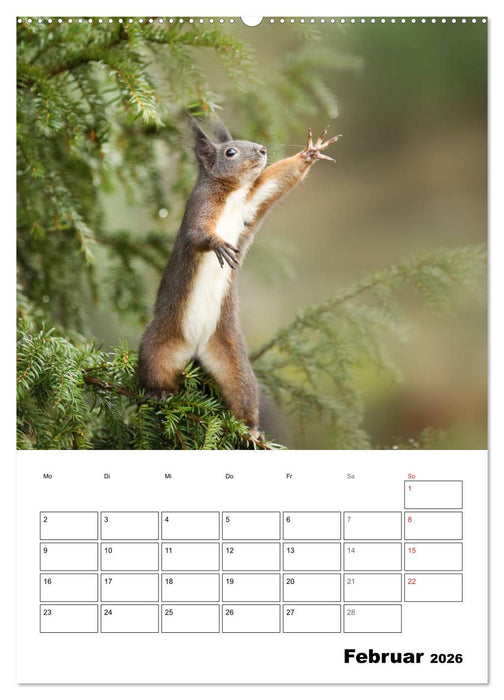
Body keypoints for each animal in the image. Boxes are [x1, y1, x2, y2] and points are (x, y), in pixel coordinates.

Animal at [137, 118, 340, 439]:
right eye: (230, 152)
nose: (262, 150)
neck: (231, 193)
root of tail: (196, 348)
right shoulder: (200, 208)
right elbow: (197, 234)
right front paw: (217, 244)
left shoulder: (253, 198)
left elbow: (277, 181)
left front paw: (309, 153)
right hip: (158, 346)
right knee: (155, 371)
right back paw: (159, 393)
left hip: (233, 359)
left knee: (242, 391)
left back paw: (251, 429)